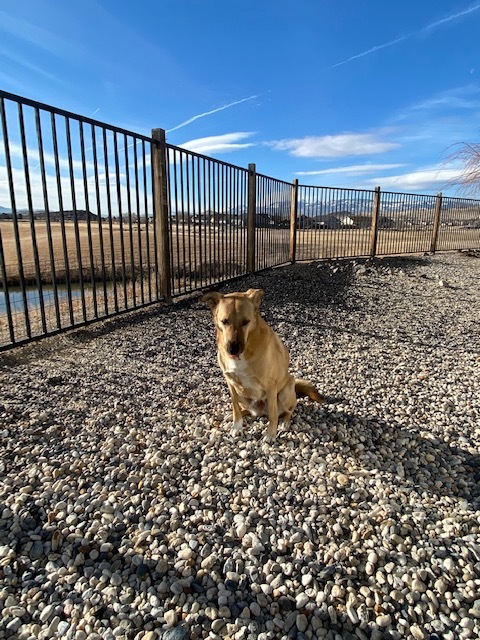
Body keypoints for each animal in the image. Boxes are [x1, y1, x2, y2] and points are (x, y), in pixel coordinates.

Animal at [200, 288, 322, 442]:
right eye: (224, 321)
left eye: (246, 322)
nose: (233, 349)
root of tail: (260, 411)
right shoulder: (231, 384)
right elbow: (235, 408)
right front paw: (237, 426)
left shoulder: (270, 386)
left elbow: (273, 414)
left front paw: (271, 434)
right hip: (241, 394)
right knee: (246, 409)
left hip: (285, 391)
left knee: (288, 410)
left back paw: (285, 422)